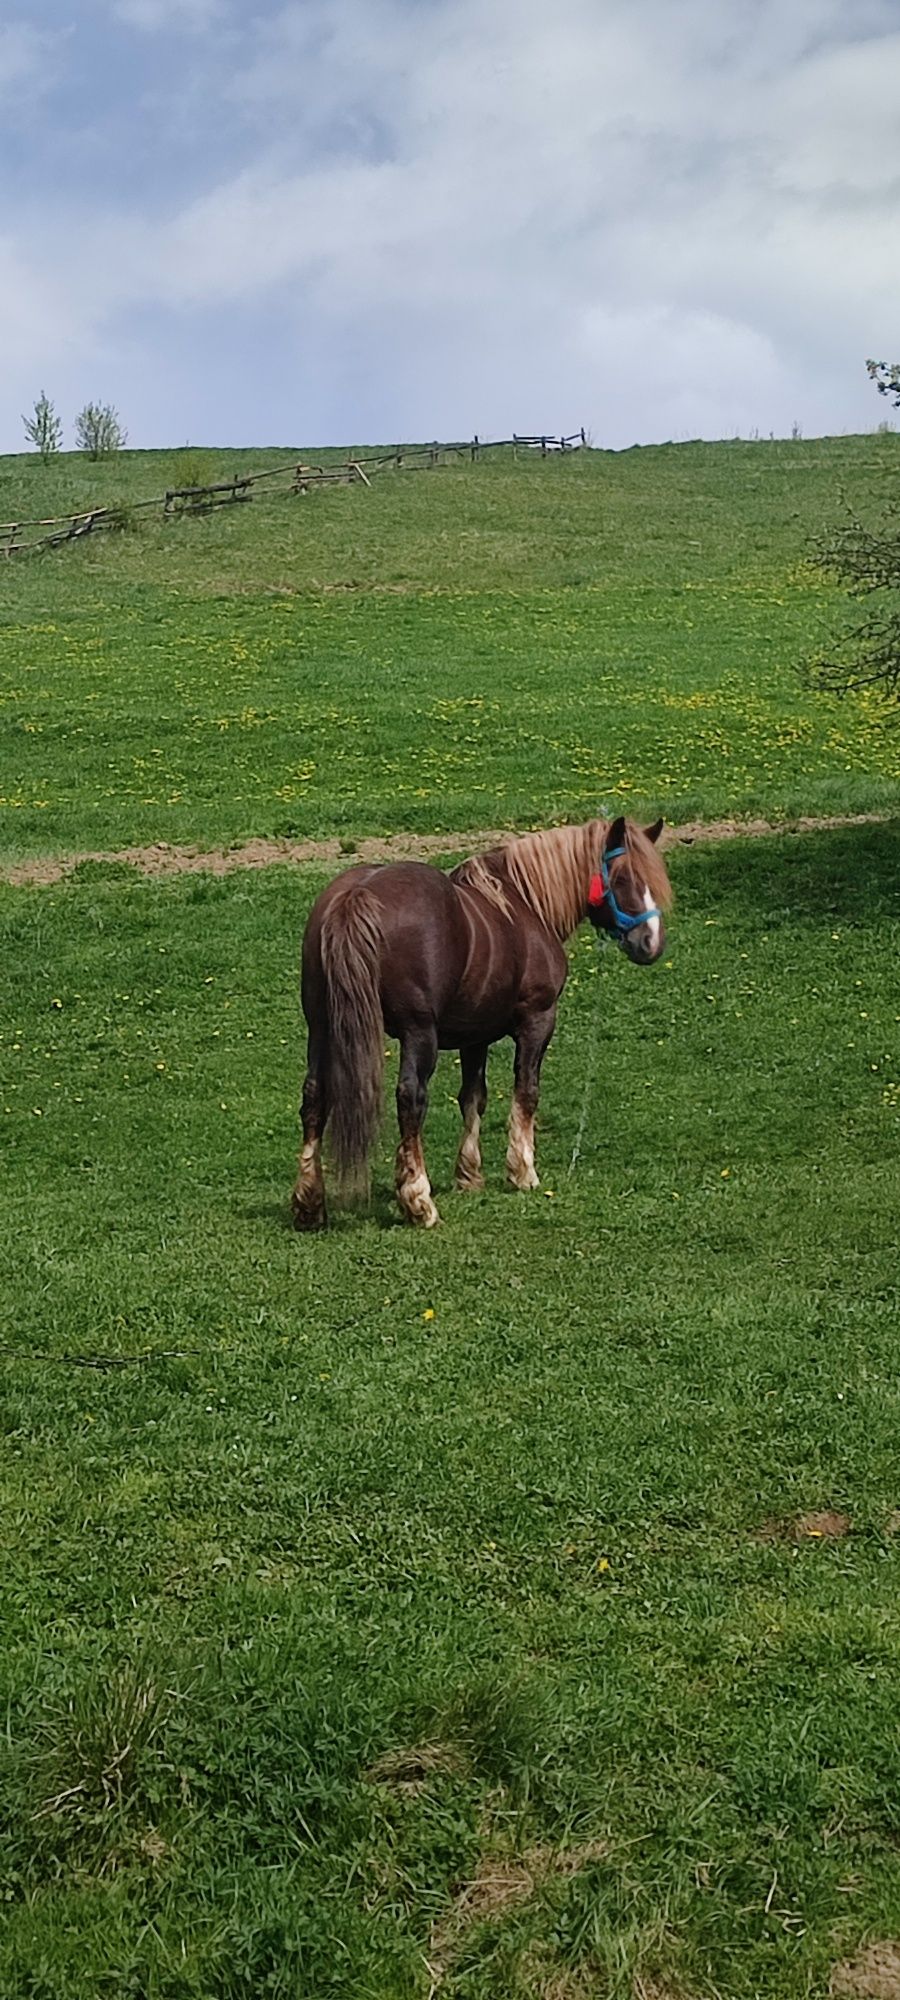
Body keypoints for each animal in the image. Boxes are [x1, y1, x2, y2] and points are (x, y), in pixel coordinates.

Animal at [292, 816, 672, 1224]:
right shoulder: (537, 1021)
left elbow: (473, 1097)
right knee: (410, 1098)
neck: (526, 905)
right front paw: (522, 1171)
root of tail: (357, 895)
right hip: (417, 1033)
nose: (651, 942)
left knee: (315, 1095)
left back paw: (309, 1202)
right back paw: (418, 1200)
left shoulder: (474, 1036)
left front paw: (469, 1174)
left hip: (322, 1027)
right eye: (623, 877)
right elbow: (526, 1092)